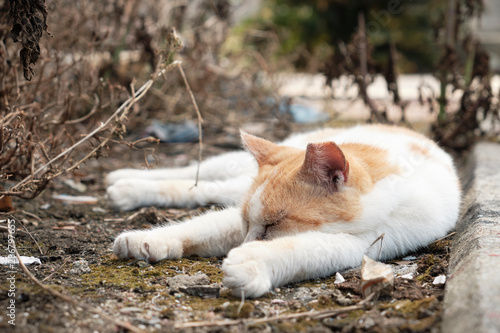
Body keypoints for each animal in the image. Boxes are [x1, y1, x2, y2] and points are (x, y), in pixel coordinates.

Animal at [108, 123, 460, 296]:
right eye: (252, 224)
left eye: (273, 225)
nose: (242, 245)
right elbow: (200, 226)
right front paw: (147, 239)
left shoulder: (362, 244)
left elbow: (297, 249)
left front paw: (251, 262)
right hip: (234, 166)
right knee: (198, 178)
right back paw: (125, 181)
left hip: (236, 182)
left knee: (206, 188)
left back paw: (124, 185)